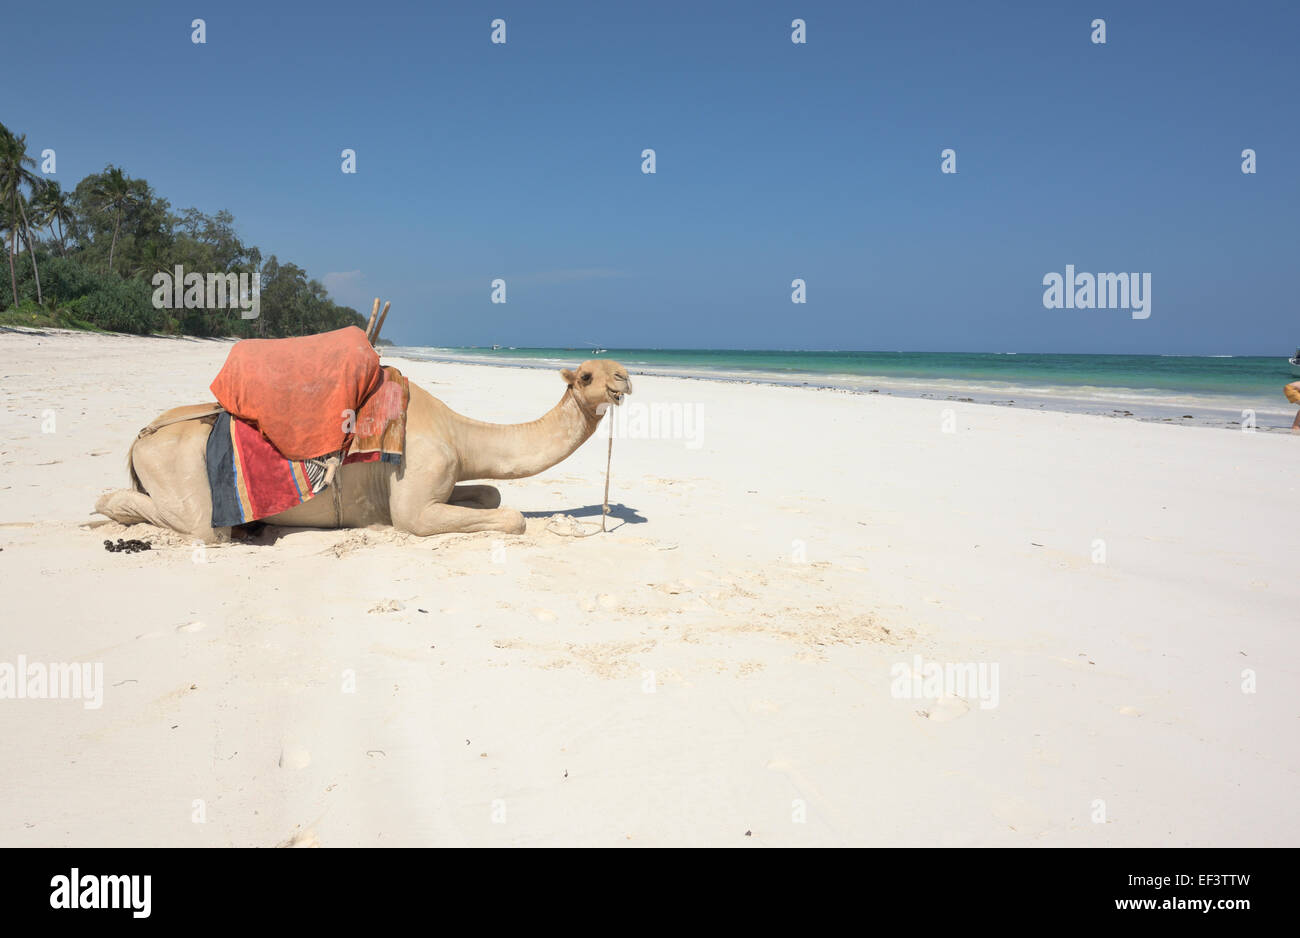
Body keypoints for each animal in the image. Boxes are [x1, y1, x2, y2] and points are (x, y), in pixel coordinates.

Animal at [94, 358, 631, 540]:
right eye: (586, 375)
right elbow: (512, 516)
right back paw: (109, 507)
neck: (457, 432)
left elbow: (492, 495)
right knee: (198, 525)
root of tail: (142, 435)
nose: (625, 378)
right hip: (181, 470)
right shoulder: (414, 503)